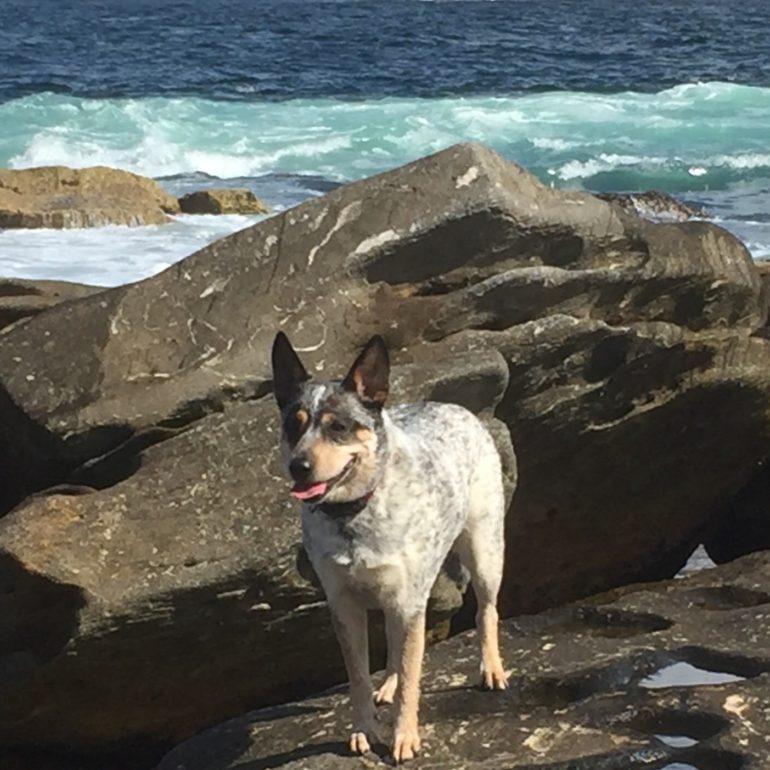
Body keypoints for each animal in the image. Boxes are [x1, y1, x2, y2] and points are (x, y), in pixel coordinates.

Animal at [272, 332, 510, 760]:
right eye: (292, 425)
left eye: (339, 427)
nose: (299, 466)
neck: (353, 516)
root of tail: (456, 408)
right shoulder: (345, 605)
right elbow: (359, 676)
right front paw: (365, 728)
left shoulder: (407, 600)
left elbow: (412, 674)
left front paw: (404, 736)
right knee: (399, 649)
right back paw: (389, 684)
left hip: (484, 550)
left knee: (486, 611)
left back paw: (491, 668)